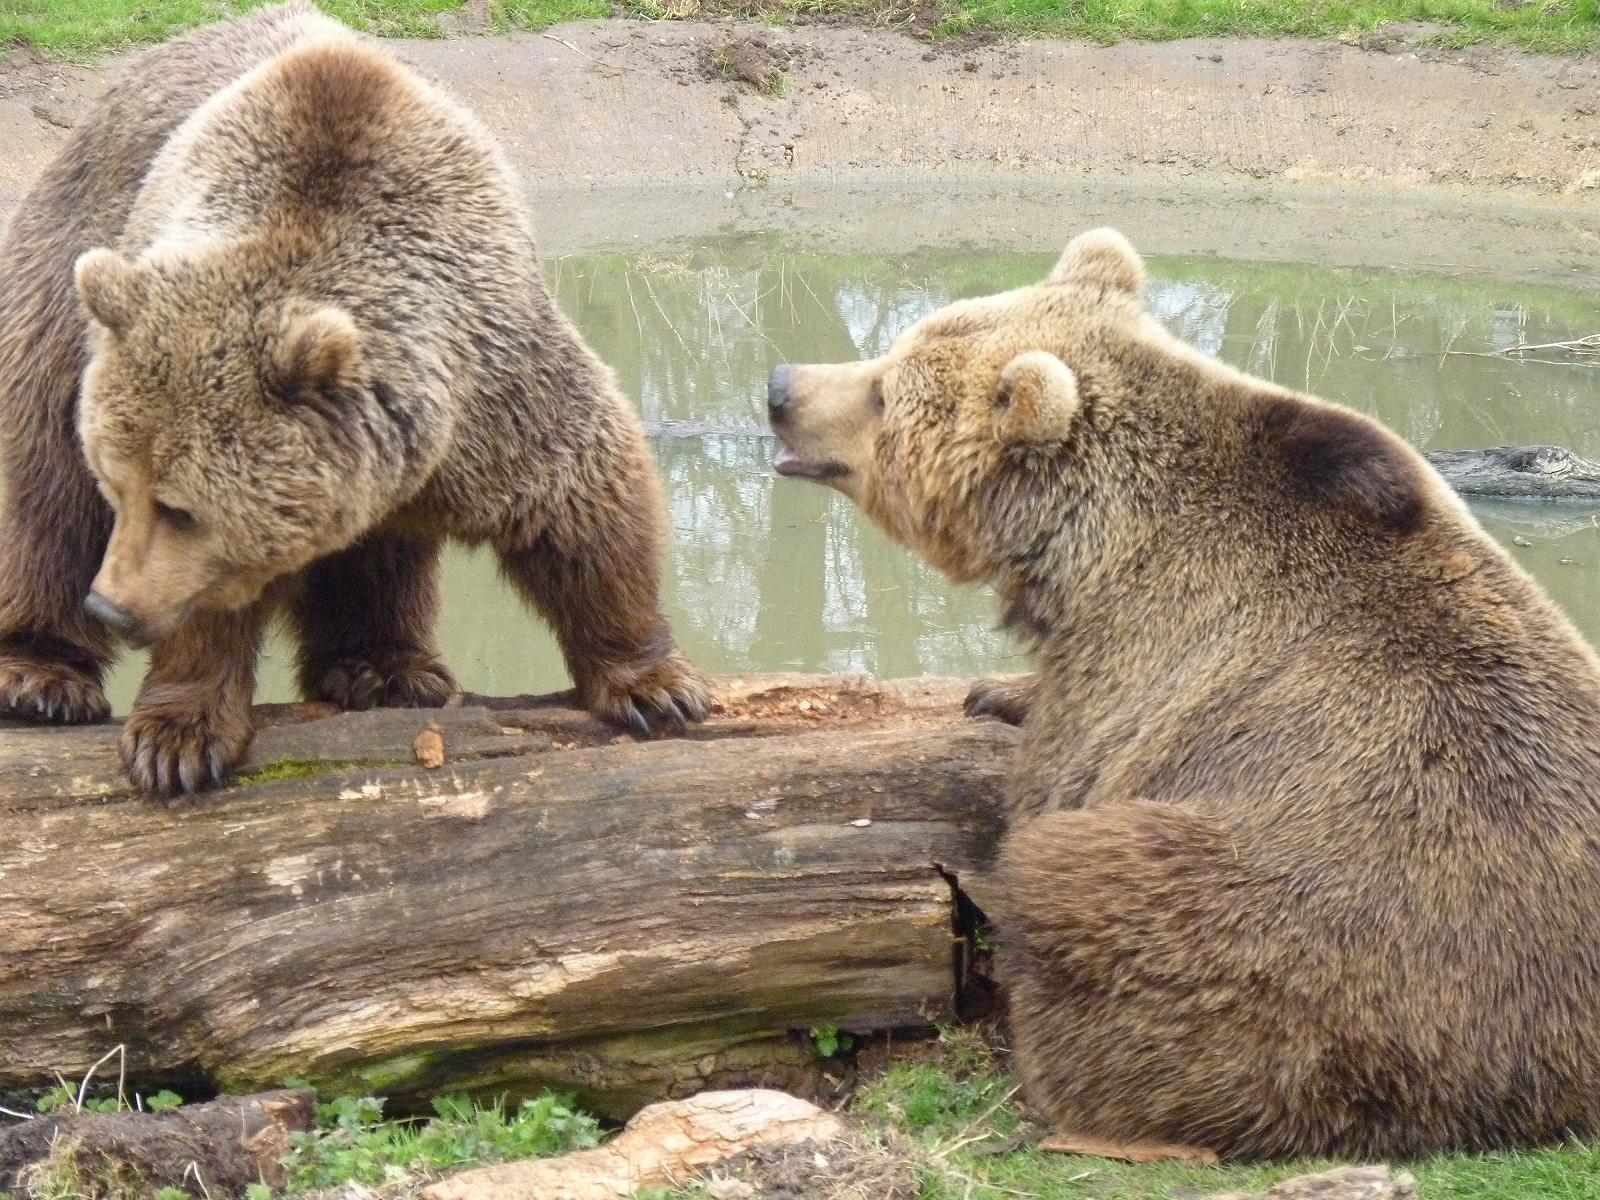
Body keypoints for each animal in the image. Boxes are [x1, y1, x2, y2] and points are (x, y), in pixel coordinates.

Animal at [0, 3, 709, 797]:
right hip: (66, 280)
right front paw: (177, 739)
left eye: (179, 507)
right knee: (45, 485)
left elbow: (583, 498)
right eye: (119, 488)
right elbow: (197, 593)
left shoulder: (491, 393)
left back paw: (384, 667)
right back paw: (39, 676)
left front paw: (654, 686)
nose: (112, 604)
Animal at [764, 228, 1600, 1160]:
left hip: (1298, 946)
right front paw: (996, 689)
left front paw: (1003, 705)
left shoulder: (1136, 660)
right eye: (893, 352)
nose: (780, 387)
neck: (1087, 544)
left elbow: (1052, 775)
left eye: (883, 390)